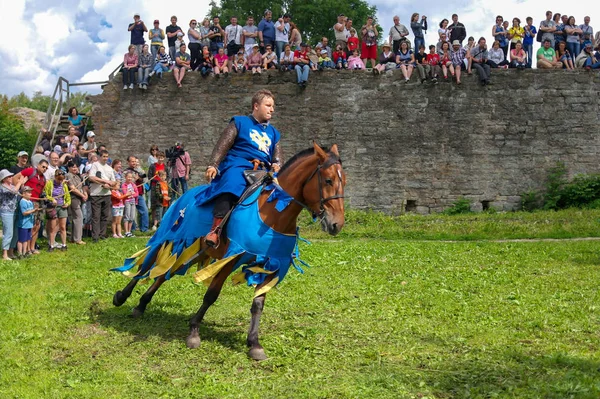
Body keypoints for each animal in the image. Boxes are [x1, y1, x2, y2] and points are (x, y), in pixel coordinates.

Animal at [113, 142, 346, 360]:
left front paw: (254, 343)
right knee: (147, 265)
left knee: (164, 274)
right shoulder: (231, 257)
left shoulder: (269, 264)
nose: (337, 224)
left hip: (195, 250)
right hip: (170, 239)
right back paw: (122, 297)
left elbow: (258, 303)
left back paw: (142, 304)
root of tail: (182, 195)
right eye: (328, 180)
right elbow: (211, 295)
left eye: (344, 181)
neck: (272, 211)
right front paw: (194, 332)